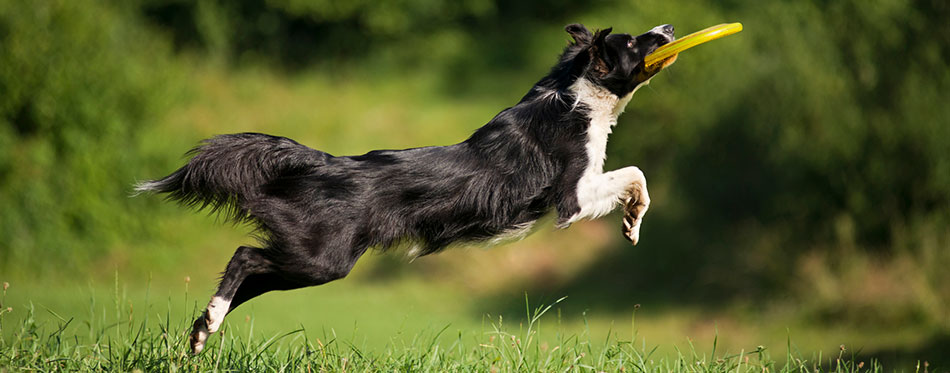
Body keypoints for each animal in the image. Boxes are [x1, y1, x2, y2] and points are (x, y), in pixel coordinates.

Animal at [139, 22, 676, 352]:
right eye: (633, 44)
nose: (669, 29)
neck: (574, 93)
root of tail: (323, 163)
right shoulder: (572, 195)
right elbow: (634, 174)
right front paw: (633, 219)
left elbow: (635, 176)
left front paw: (632, 223)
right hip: (321, 258)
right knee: (245, 257)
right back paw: (210, 320)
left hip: (306, 257)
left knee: (249, 277)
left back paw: (203, 330)